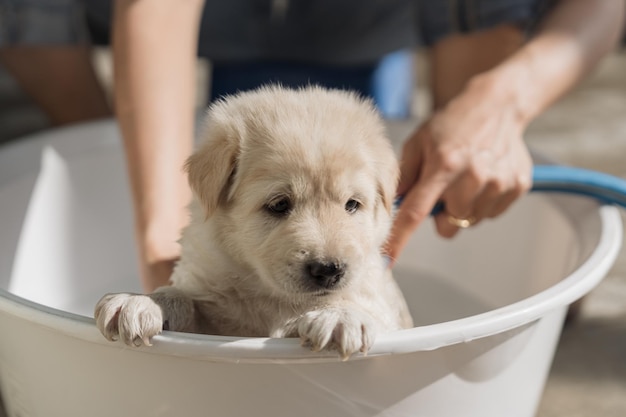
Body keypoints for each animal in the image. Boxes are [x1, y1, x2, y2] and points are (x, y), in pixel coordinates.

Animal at [95, 84, 412, 358]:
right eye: (279, 205)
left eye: (352, 204)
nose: (328, 270)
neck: (269, 294)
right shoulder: (212, 309)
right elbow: (185, 298)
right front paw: (141, 300)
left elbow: (362, 307)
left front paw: (339, 317)